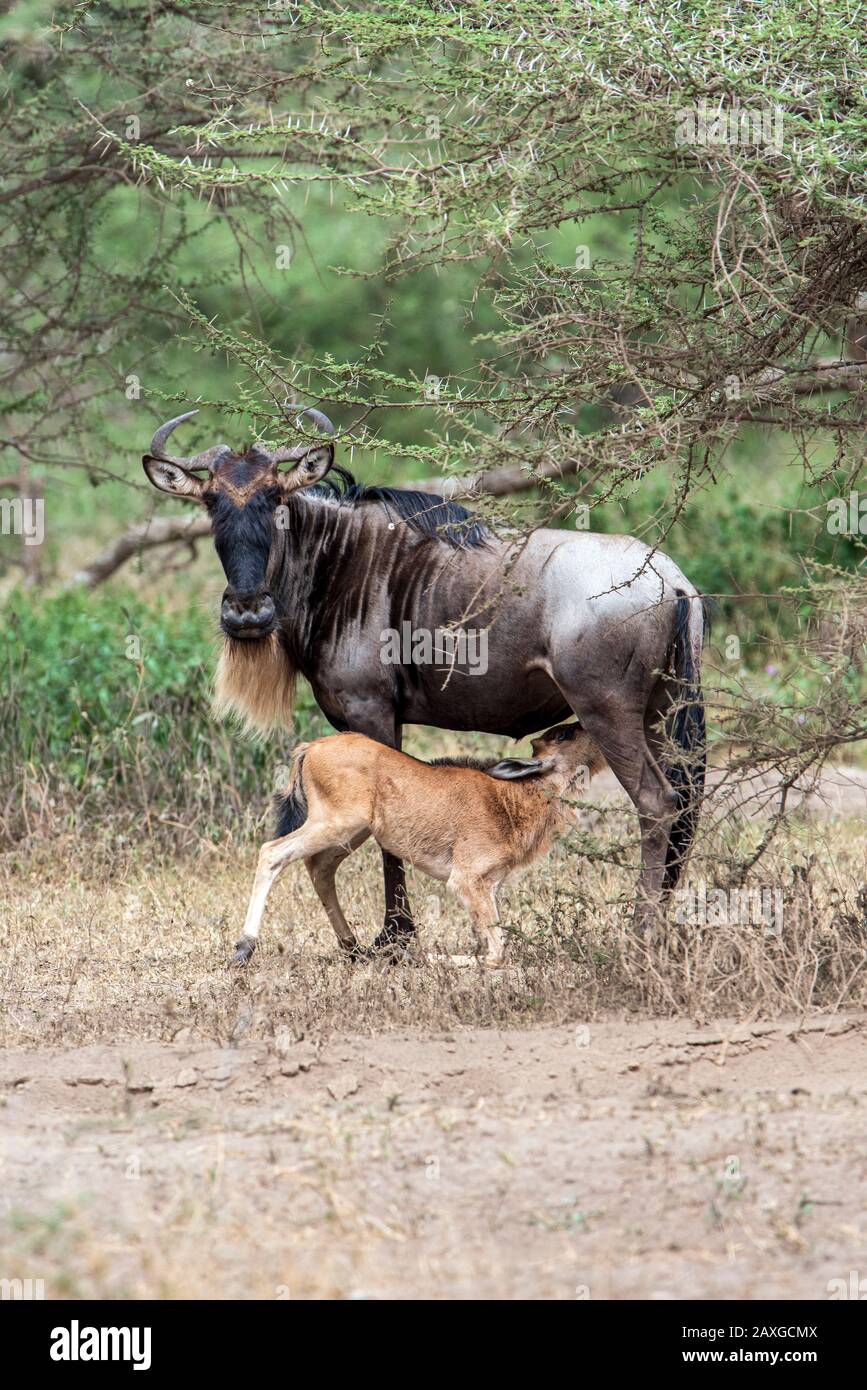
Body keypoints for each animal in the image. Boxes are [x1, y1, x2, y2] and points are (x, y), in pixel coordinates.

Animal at [233, 722, 605, 973]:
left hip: (351, 833)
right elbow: (496, 952)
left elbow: (492, 941)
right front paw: (416, 955)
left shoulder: (490, 886)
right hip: (336, 824)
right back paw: (243, 949)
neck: (510, 798)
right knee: (272, 853)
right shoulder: (466, 880)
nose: (590, 724)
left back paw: (355, 949)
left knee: (319, 869)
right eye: (563, 734)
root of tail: (311, 747)